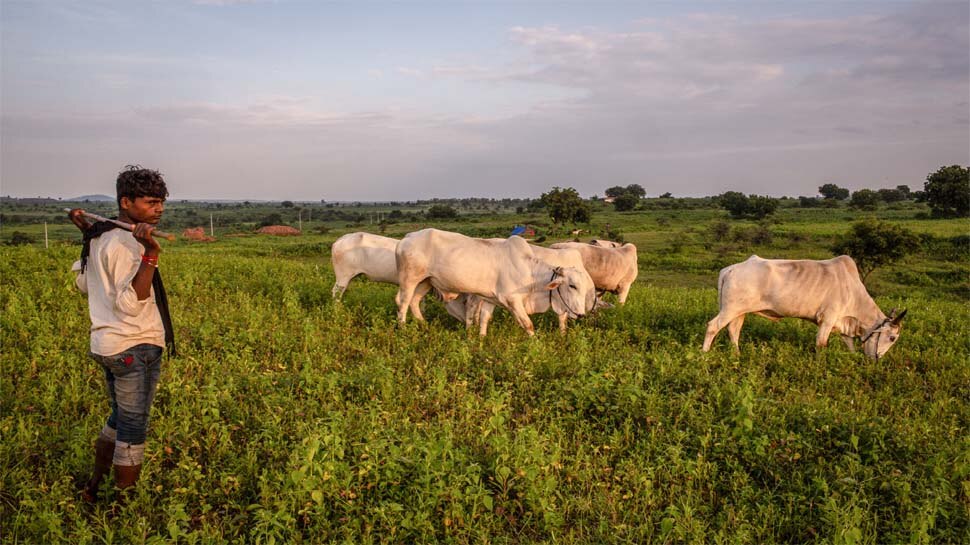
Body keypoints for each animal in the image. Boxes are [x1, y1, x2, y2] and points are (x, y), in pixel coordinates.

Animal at [396, 227, 596, 334]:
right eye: (572, 286)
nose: (581, 314)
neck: (530, 272)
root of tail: (406, 238)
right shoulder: (512, 300)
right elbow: (528, 324)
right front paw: (535, 346)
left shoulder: (490, 299)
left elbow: (484, 319)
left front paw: (480, 340)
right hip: (409, 279)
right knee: (403, 302)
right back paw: (403, 329)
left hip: (426, 281)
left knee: (414, 302)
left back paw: (424, 325)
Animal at [700, 254, 904, 356]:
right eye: (892, 338)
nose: (877, 358)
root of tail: (731, 269)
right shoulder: (827, 319)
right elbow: (821, 345)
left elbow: (850, 344)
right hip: (730, 309)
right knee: (712, 326)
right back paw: (704, 354)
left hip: (739, 311)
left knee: (733, 330)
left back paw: (737, 355)